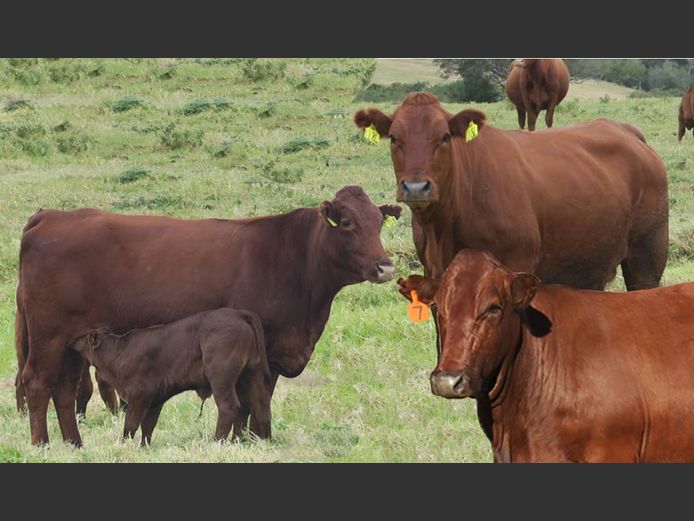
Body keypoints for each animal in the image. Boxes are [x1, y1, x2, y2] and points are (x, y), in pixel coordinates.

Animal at [71, 308, 271, 445]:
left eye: (84, 337)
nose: (73, 341)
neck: (119, 353)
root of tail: (239, 313)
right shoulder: (155, 399)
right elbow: (148, 425)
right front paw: (144, 447)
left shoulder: (139, 395)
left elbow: (131, 424)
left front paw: (124, 445)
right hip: (251, 373)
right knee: (261, 403)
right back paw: (265, 439)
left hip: (221, 378)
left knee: (229, 406)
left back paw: (217, 442)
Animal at [353, 92, 669, 292]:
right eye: (395, 138)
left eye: (444, 137)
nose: (416, 187)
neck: (444, 227)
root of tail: (625, 131)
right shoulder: (435, 273)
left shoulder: (517, 267)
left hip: (647, 256)